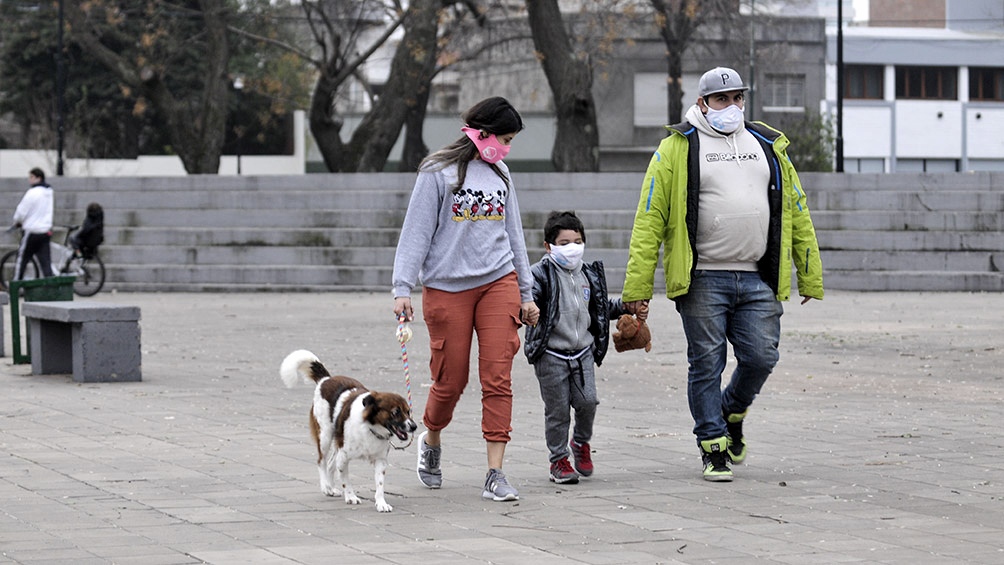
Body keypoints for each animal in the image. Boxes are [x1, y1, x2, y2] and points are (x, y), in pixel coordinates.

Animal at [279, 349, 415, 513]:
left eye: (408, 412)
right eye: (395, 412)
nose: (414, 426)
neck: (371, 428)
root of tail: (326, 379)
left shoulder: (380, 460)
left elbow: (380, 485)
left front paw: (381, 502)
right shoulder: (344, 458)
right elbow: (346, 480)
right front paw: (350, 497)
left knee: (330, 463)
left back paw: (331, 488)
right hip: (325, 435)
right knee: (322, 461)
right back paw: (326, 487)